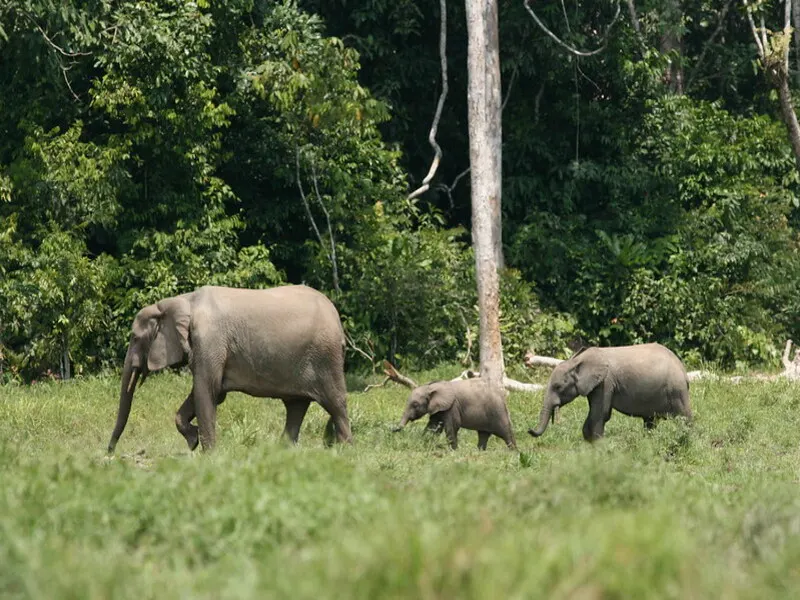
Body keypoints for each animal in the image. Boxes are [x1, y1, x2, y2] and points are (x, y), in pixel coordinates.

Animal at [107, 284, 354, 452]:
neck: (182, 301)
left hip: (326, 357)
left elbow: (207, 391)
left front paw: (207, 454)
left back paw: (344, 451)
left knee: (336, 403)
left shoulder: (209, 341)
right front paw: (193, 440)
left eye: (135, 338)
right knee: (296, 406)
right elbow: (211, 393)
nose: (110, 452)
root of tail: (337, 318)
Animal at [528, 342, 692, 440]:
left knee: (685, 418)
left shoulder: (606, 382)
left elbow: (600, 414)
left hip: (677, 390)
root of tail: (682, 368)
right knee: (650, 421)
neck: (575, 361)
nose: (529, 430)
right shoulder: (595, 385)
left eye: (558, 387)